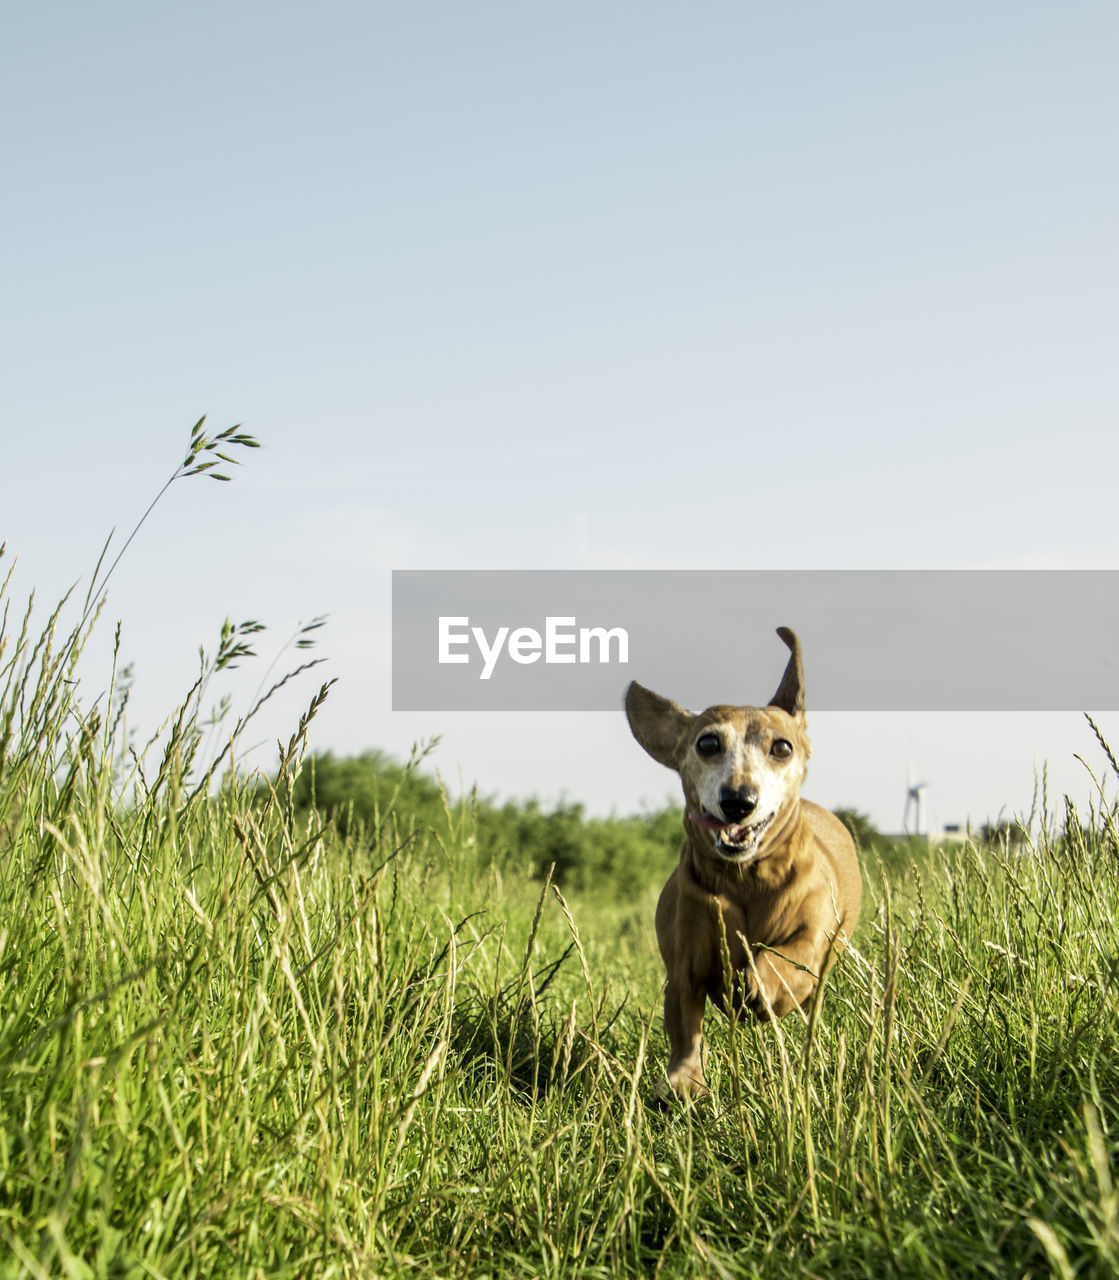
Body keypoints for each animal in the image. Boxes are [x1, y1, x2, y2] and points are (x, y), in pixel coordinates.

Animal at [624, 629, 860, 1100]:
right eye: (707, 743)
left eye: (782, 747)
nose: (738, 800)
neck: (745, 879)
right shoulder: (684, 967)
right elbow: (686, 1027)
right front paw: (683, 1080)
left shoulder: (810, 939)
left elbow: (788, 956)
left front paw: (761, 981)